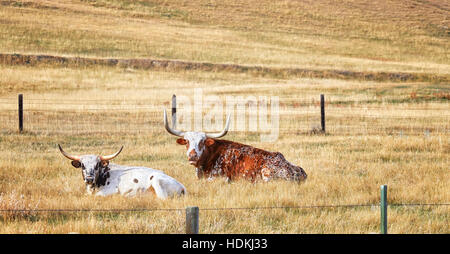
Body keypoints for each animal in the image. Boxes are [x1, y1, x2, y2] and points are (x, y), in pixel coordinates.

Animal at [58, 145, 186, 198]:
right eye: (82, 165)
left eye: (97, 165)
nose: (89, 179)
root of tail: (182, 187)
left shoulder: (110, 191)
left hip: (157, 181)